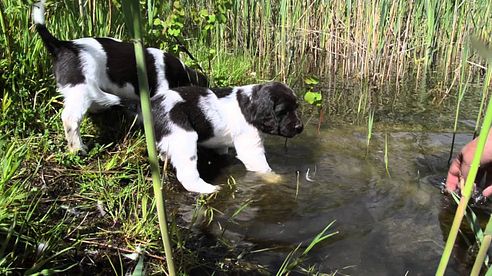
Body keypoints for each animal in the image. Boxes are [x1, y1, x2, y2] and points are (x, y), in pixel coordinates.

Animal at [152, 82, 302, 194]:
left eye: (296, 107)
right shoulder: (250, 146)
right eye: (283, 111)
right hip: (183, 137)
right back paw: (210, 189)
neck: (251, 104)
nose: (300, 127)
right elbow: (264, 169)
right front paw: (278, 179)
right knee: (187, 175)